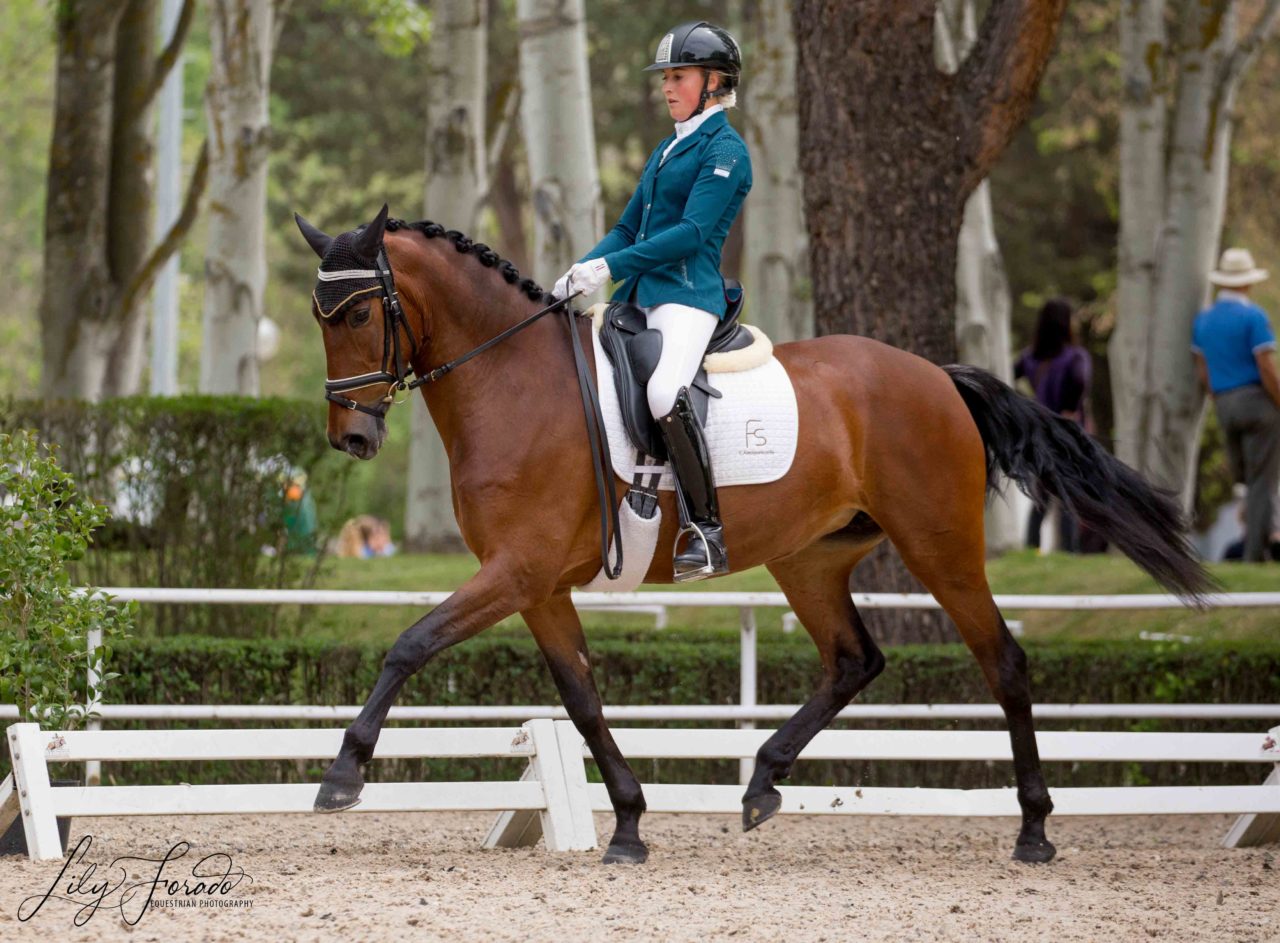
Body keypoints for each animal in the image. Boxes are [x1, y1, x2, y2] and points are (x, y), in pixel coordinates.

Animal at [294, 204, 1203, 859]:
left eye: (362, 312)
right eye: (316, 314)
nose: (352, 438)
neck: (512, 379)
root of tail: (936, 376)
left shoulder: (516, 570)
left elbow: (410, 643)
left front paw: (343, 774)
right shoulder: (538, 584)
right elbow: (582, 697)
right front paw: (629, 823)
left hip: (939, 545)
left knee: (1002, 660)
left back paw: (1035, 829)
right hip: (811, 559)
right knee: (855, 659)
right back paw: (763, 781)